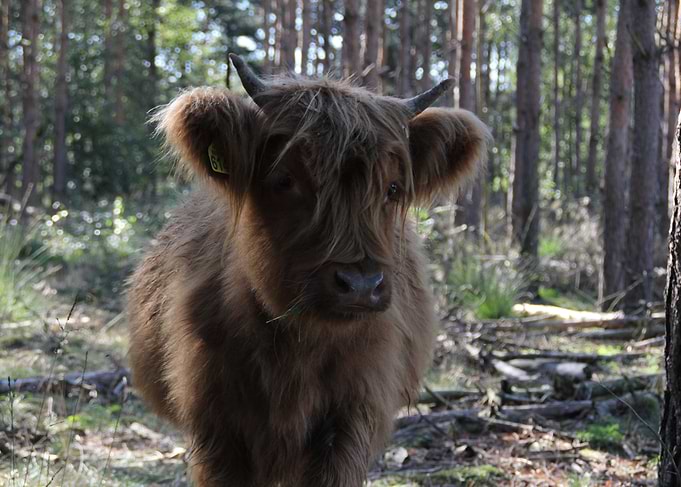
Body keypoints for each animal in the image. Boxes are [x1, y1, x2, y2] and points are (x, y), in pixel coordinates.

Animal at [127, 54, 489, 487]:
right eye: (285, 180)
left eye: (393, 189)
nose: (360, 284)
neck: (300, 344)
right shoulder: (217, 426)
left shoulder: (353, 415)